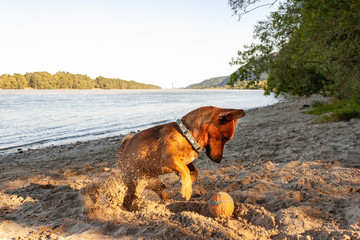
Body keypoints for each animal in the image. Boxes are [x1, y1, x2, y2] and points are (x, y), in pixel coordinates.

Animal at [117, 106, 245, 209]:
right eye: (223, 138)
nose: (218, 160)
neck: (187, 133)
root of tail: (124, 150)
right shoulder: (169, 158)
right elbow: (185, 170)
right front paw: (187, 189)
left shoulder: (186, 162)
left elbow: (193, 172)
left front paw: (185, 183)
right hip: (133, 182)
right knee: (128, 198)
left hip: (154, 182)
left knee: (161, 192)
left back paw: (169, 200)